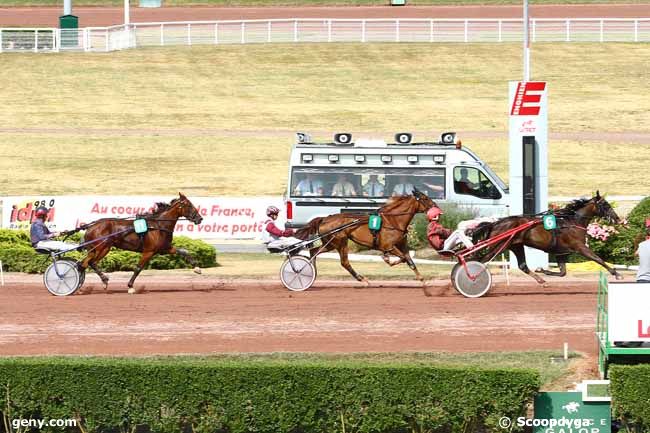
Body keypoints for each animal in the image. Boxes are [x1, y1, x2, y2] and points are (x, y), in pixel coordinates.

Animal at [294, 189, 436, 286]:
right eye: (425, 198)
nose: (436, 207)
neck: (393, 220)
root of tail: (325, 219)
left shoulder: (402, 245)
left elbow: (410, 261)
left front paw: (422, 280)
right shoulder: (388, 246)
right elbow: (402, 258)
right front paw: (388, 260)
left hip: (330, 243)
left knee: (313, 251)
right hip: (340, 242)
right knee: (344, 262)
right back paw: (362, 279)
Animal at [464, 190, 620, 284]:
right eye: (606, 205)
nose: (617, 219)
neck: (572, 222)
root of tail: (495, 223)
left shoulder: (561, 252)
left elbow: (562, 273)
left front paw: (542, 270)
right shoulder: (580, 247)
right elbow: (598, 259)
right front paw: (616, 273)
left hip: (515, 245)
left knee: (522, 266)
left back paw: (540, 280)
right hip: (499, 246)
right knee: (481, 261)